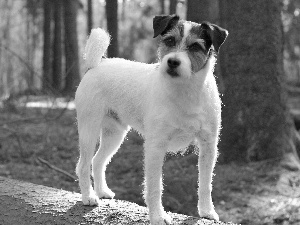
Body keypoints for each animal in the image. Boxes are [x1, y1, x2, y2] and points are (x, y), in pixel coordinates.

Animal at [75, 14, 227, 224]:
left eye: (195, 46)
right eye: (169, 40)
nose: (172, 62)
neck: (185, 91)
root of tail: (97, 64)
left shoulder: (208, 145)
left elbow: (205, 184)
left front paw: (206, 211)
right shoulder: (156, 146)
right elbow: (155, 186)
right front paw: (157, 216)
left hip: (115, 134)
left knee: (98, 161)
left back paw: (102, 191)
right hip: (89, 130)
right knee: (82, 165)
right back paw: (89, 196)